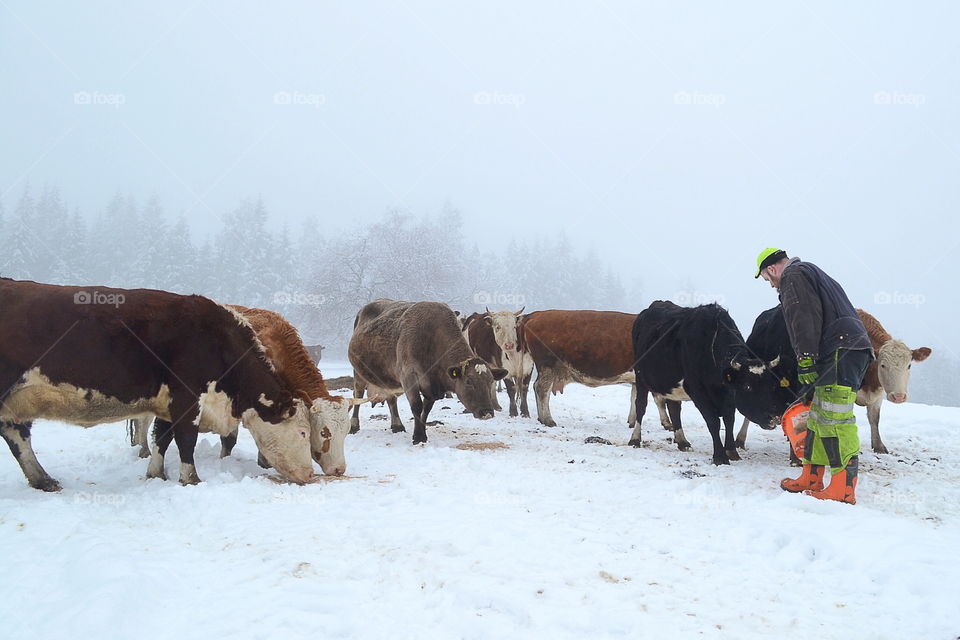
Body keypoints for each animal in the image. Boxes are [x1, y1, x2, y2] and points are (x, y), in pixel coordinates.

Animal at [0, 278, 314, 490]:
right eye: (302, 432)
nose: (310, 474)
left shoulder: (167, 402)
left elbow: (162, 437)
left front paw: (156, 474)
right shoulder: (187, 397)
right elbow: (186, 439)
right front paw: (191, 479)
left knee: (17, 435)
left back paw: (43, 480)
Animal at [348, 299, 508, 444]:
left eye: (490, 381)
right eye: (469, 381)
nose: (487, 412)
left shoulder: (431, 386)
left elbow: (426, 409)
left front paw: (421, 434)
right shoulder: (408, 376)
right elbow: (417, 406)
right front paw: (418, 437)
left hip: (387, 378)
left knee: (391, 399)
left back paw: (397, 425)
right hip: (358, 373)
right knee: (358, 395)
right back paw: (354, 425)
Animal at [631, 301, 746, 465]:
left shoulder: (728, 393)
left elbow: (729, 418)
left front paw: (731, 450)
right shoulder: (696, 389)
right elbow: (713, 421)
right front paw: (720, 456)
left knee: (674, 409)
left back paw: (682, 441)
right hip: (641, 377)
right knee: (640, 405)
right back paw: (635, 438)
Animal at [732, 306, 932, 455]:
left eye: (909, 365)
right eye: (882, 365)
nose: (899, 396)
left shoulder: (877, 395)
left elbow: (874, 419)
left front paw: (879, 446)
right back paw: (740, 440)